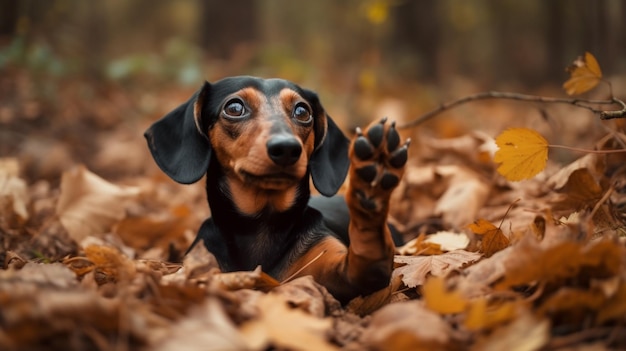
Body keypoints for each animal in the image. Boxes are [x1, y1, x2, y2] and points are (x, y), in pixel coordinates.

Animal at [146, 76, 410, 302]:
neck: (262, 224)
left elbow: (367, 263)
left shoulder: (338, 270)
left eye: (302, 111)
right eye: (234, 108)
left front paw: (371, 186)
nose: (286, 148)